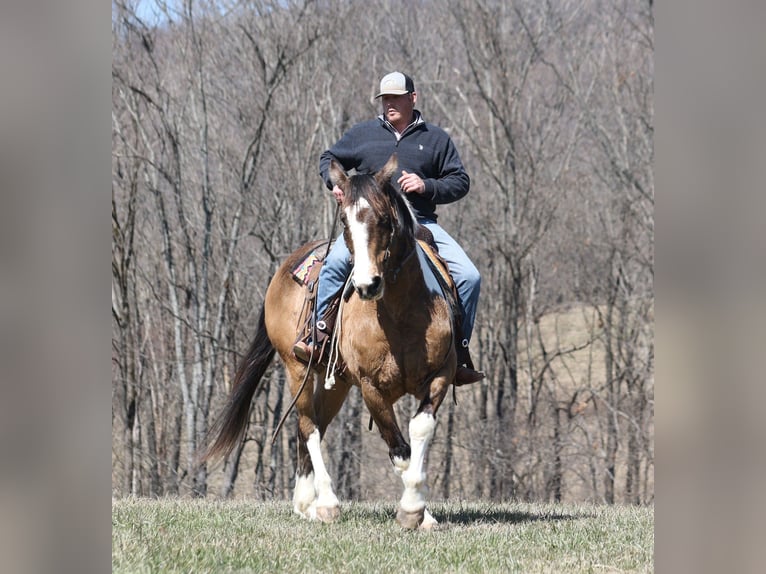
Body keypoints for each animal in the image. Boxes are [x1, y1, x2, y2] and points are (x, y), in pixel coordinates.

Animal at [202, 154, 456, 529]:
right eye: (344, 220)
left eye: (384, 219)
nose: (366, 285)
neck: (401, 313)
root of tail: (281, 273)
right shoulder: (370, 386)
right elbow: (399, 451)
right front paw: (412, 509)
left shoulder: (440, 375)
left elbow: (420, 431)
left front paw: (420, 513)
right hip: (297, 370)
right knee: (308, 427)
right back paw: (325, 503)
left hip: (335, 382)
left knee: (313, 426)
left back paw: (305, 503)